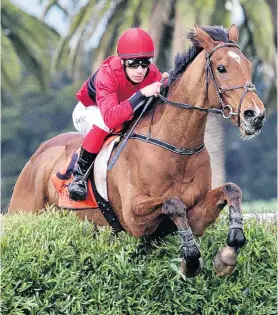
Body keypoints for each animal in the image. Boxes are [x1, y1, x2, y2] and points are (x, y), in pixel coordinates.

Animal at [8, 24, 264, 276]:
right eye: (221, 68)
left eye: (249, 65)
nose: (255, 115)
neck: (176, 147)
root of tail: (37, 155)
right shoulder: (134, 217)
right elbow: (173, 203)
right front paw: (190, 261)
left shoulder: (196, 215)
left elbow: (231, 190)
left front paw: (228, 254)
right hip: (23, 211)